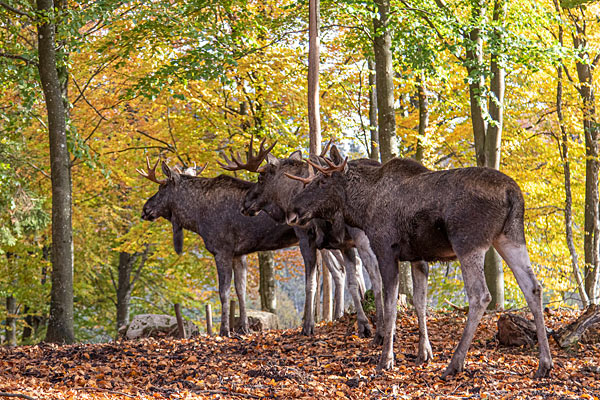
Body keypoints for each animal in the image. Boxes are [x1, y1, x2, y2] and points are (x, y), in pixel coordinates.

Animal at [220, 144, 384, 340]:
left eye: (261, 177)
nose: (244, 204)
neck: (287, 196)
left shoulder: (305, 238)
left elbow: (310, 284)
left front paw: (308, 326)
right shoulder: (345, 244)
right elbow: (350, 282)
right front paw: (363, 325)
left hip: (364, 236)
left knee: (376, 273)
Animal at [286, 146, 552, 378]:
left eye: (322, 181)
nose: (293, 210)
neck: (363, 208)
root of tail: (513, 194)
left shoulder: (386, 250)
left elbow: (391, 304)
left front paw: (386, 359)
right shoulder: (418, 258)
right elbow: (419, 302)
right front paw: (424, 353)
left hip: (468, 242)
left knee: (480, 296)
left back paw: (455, 363)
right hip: (510, 237)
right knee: (533, 288)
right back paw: (544, 364)